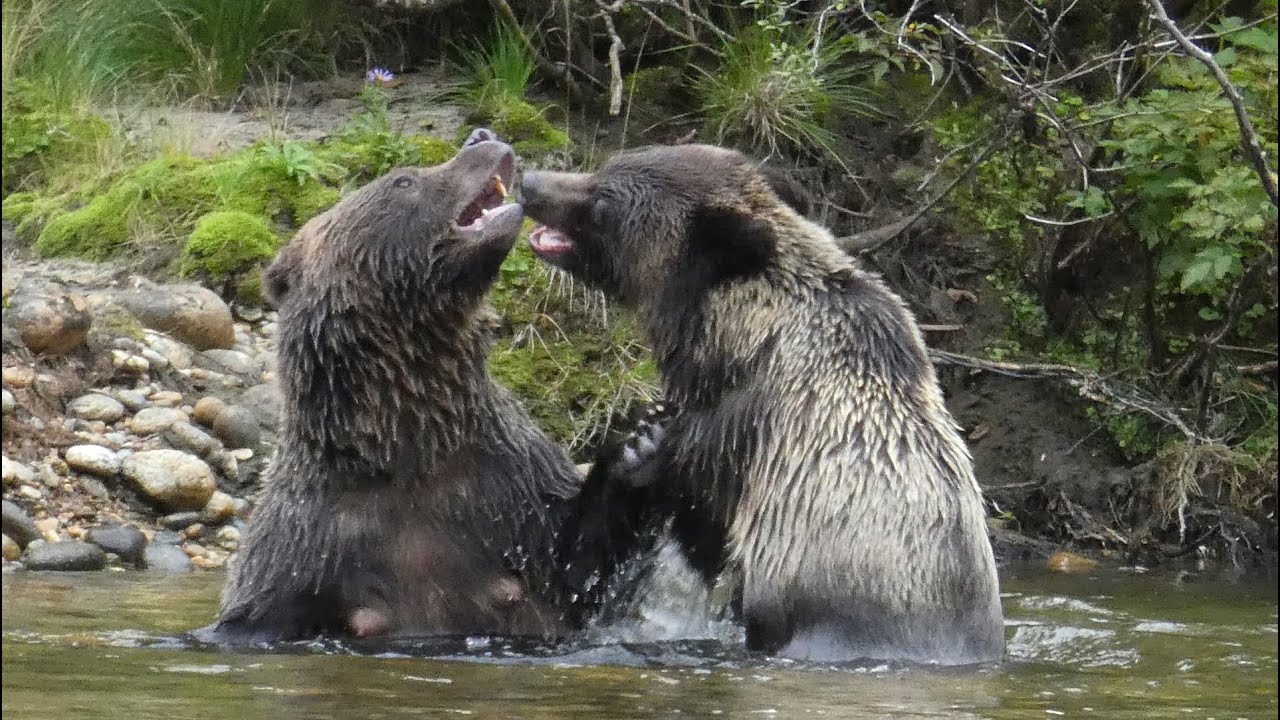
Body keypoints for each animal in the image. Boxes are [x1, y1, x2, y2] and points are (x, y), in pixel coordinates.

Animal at [520, 144, 1006, 665]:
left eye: (604, 201)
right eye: (608, 164)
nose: (531, 183)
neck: (740, 344)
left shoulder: (740, 443)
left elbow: (688, 518)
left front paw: (636, 452)